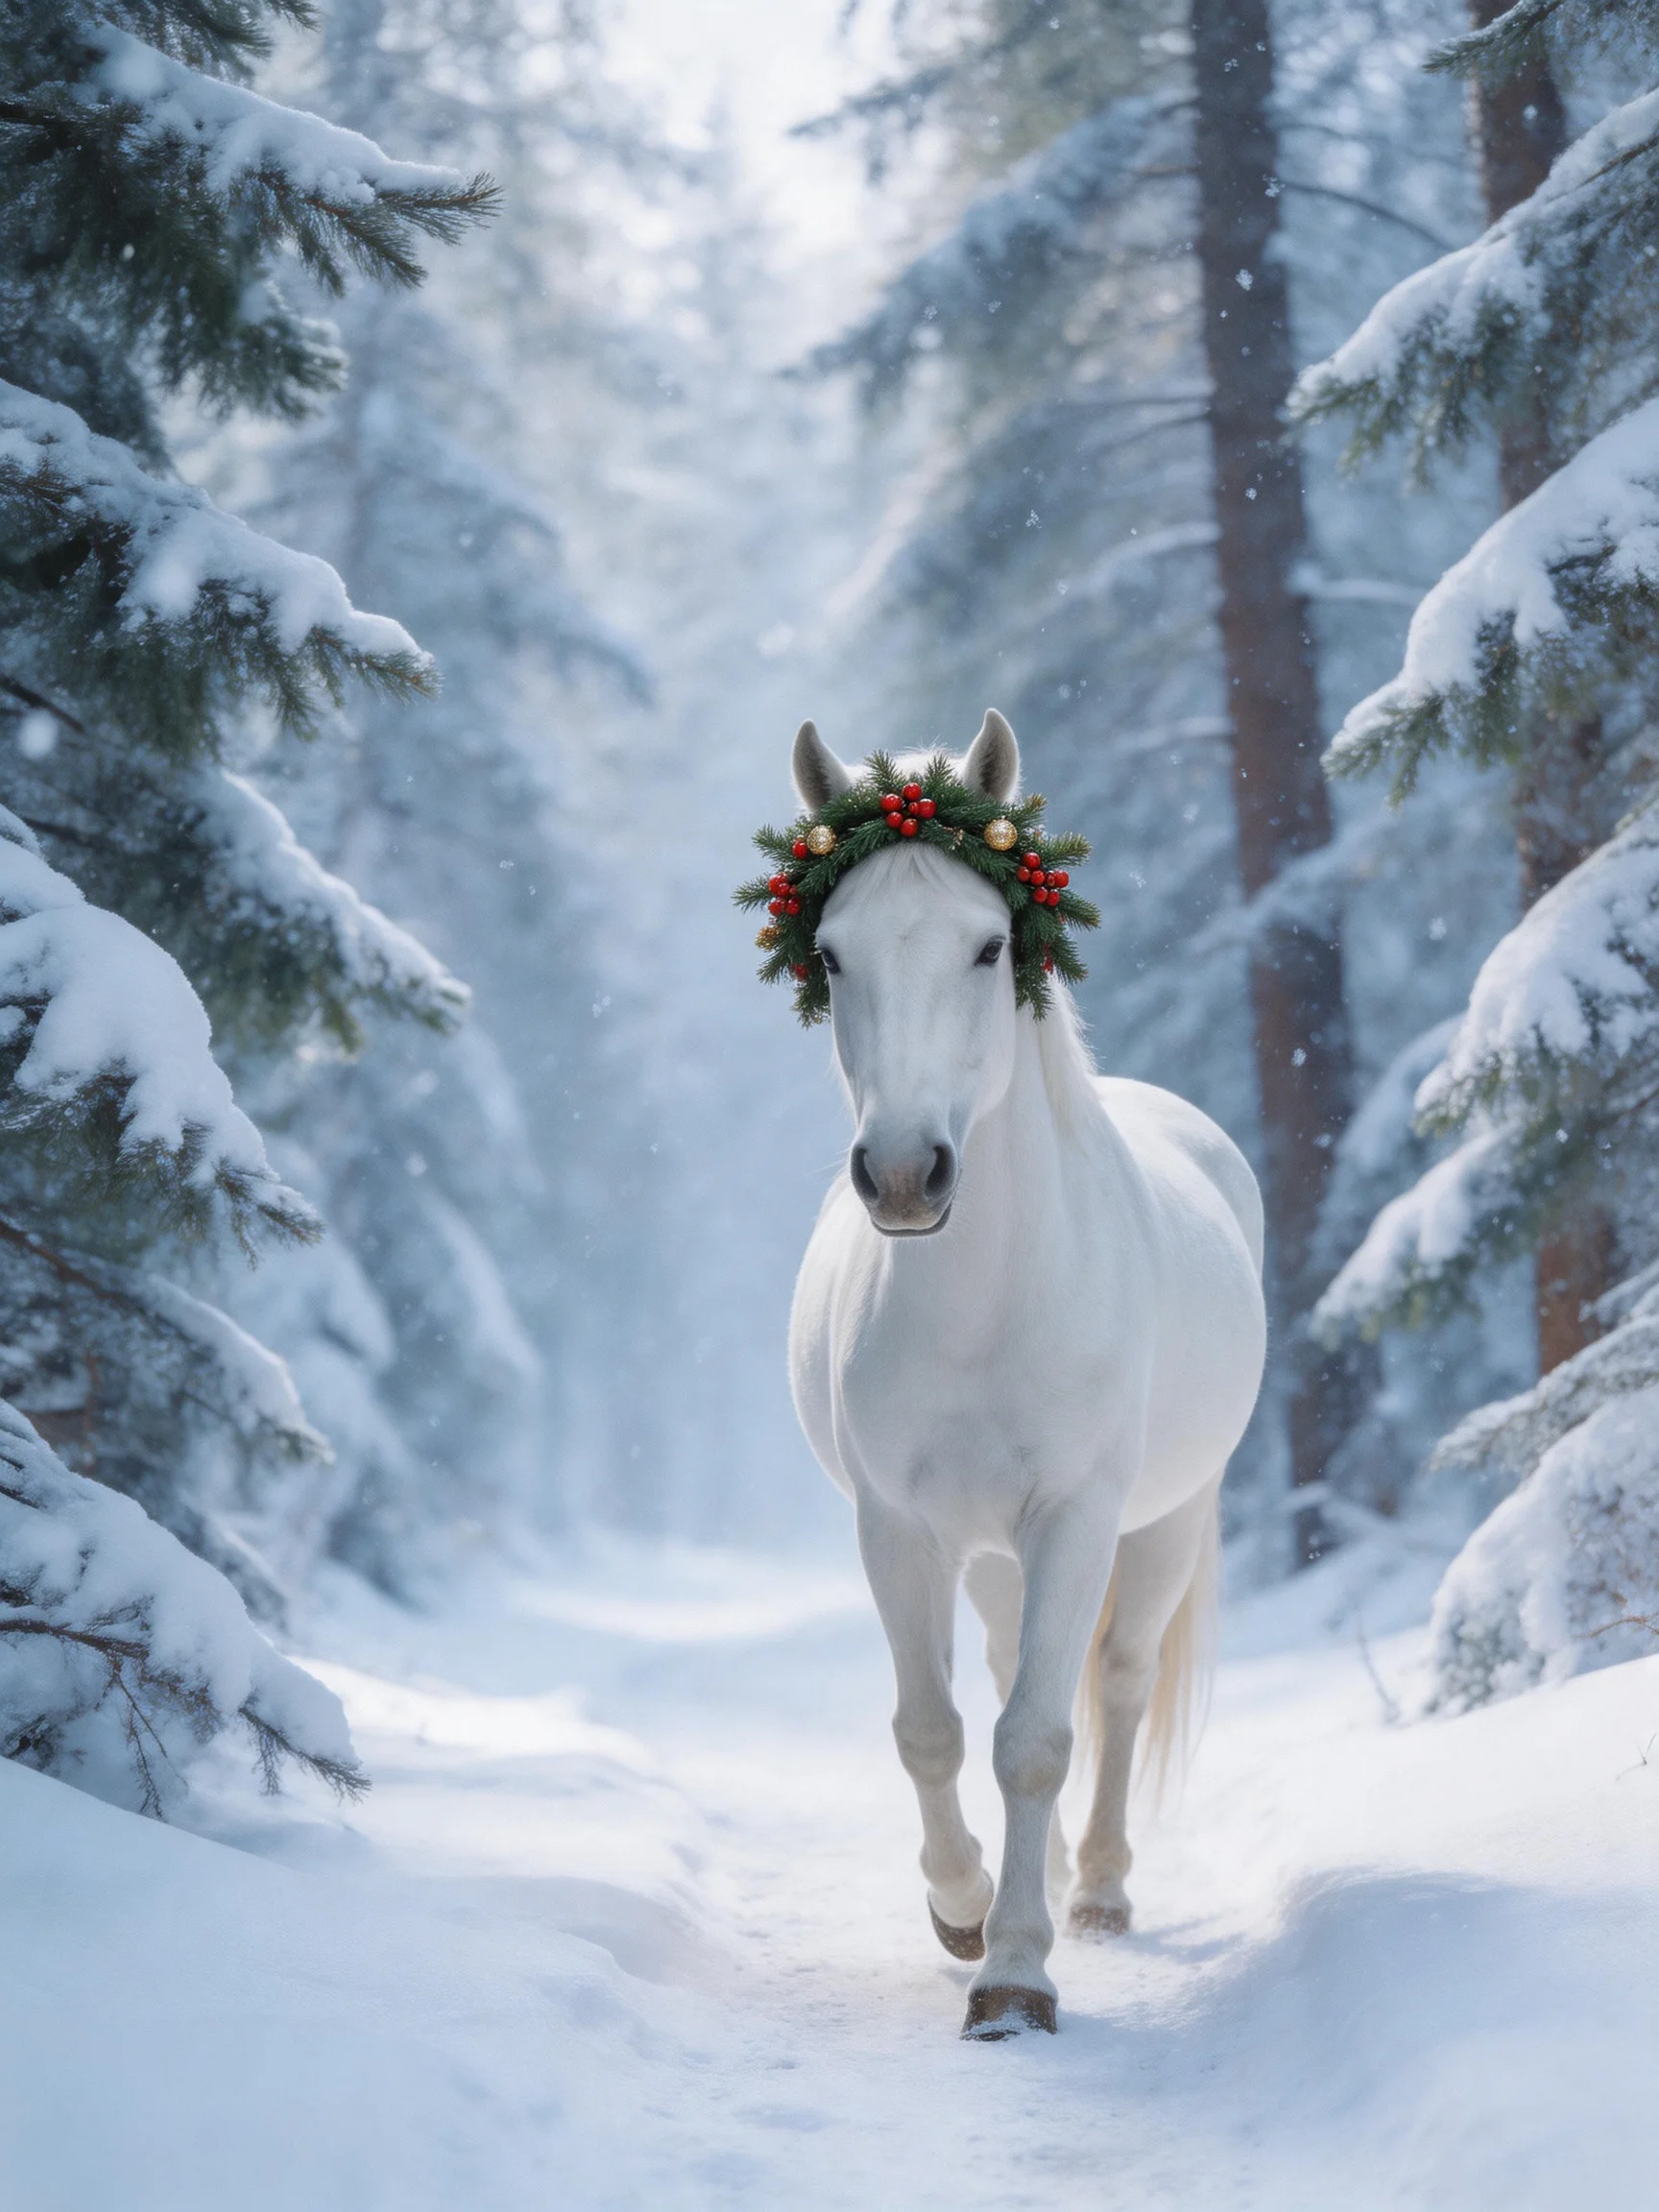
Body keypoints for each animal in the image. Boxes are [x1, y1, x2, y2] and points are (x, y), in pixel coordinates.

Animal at [786, 711, 1266, 2039]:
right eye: (831, 955)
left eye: (989, 944)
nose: (906, 1175)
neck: (981, 1308)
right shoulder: (899, 1530)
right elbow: (936, 1732)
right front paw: (966, 1911)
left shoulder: (1076, 1517)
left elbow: (1041, 1741)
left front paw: (1015, 1977)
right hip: (993, 1553)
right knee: (1003, 1677)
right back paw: (1038, 1878)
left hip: (1162, 1523)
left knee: (1117, 1683)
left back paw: (1093, 1892)